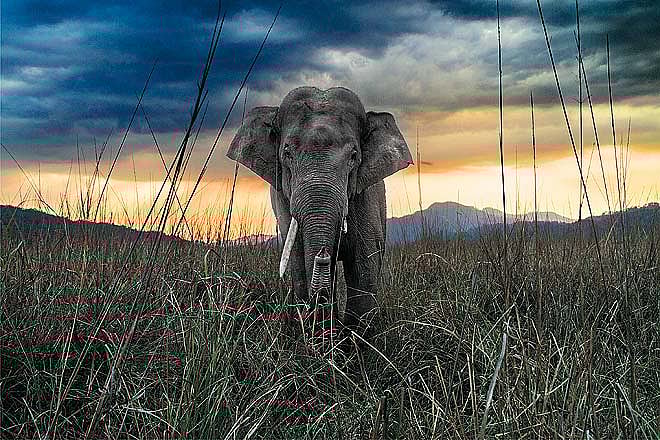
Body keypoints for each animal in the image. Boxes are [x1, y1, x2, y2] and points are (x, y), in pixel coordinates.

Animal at [227, 86, 412, 334]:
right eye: (286, 153)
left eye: (354, 156)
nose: (323, 254)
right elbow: (299, 261)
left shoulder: (366, 197)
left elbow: (363, 265)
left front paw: (355, 340)